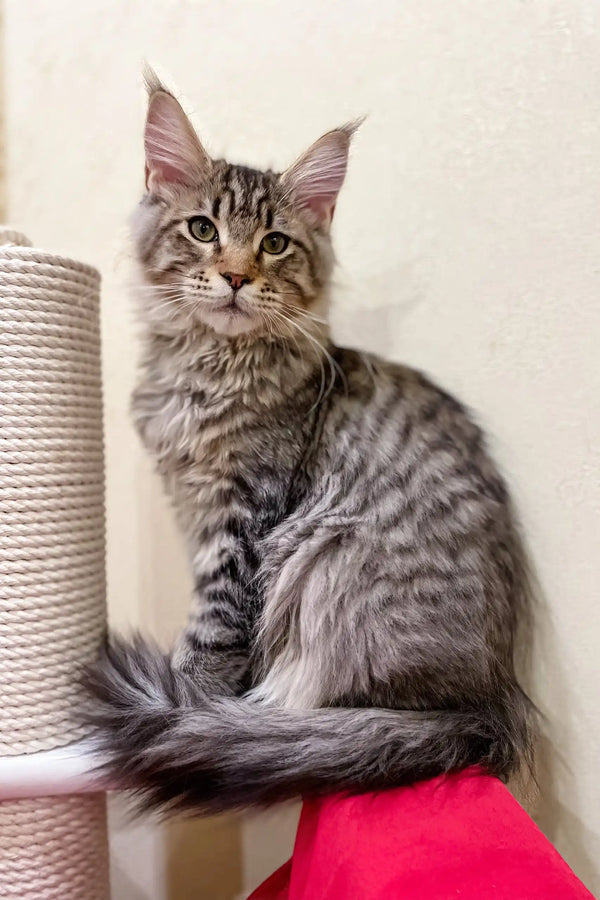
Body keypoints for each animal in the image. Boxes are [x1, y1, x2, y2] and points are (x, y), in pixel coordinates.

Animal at [84, 70, 536, 816]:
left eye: (274, 244)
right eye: (203, 229)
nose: (237, 276)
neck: (209, 370)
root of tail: (481, 712)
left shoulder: (247, 513)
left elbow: (216, 625)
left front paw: (188, 700)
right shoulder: (196, 507)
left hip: (326, 558)